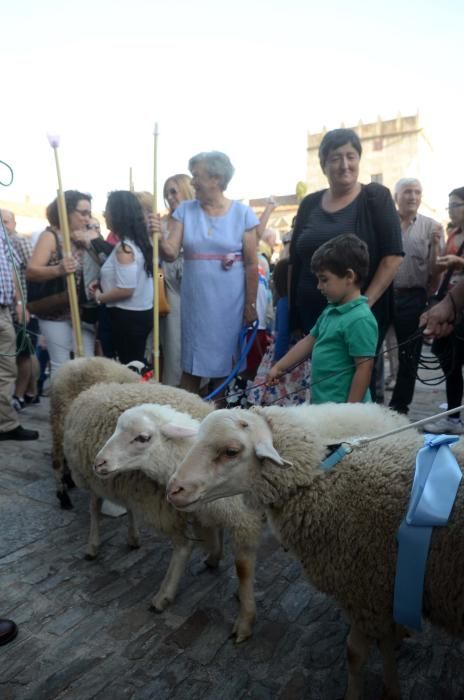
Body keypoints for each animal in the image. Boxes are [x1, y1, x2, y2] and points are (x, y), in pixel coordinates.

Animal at [63, 386, 260, 644]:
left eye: (142, 438)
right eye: (115, 428)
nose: (99, 463)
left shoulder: (245, 521)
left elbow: (243, 568)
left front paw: (245, 621)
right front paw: (215, 557)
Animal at [168, 402, 464, 700]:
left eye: (231, 451)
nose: (174, 490)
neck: (321, 482)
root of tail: (387, 410)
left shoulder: (363, 591)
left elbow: (355, 653)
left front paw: (360, 692)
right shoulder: (377, 593)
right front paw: (391, 687)